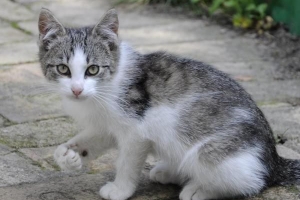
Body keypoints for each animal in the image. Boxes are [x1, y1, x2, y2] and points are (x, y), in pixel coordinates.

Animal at [37, 7, 300, 200]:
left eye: (93, 69)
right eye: (63, 69)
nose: (77, 89)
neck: (102, 91)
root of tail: (274, 161)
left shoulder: (136, 131)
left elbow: (127, 162)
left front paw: (120, 189)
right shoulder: (106, 124)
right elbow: (92, 139)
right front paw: (69, 156)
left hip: (210, 152)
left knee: (249, 182)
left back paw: (199, 189)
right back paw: (170, 172)